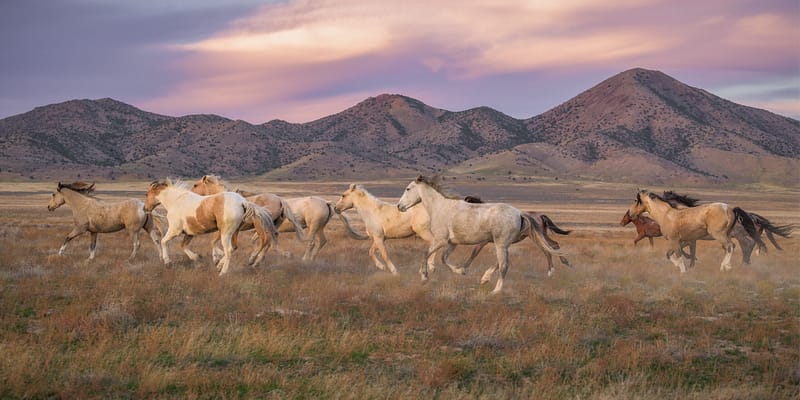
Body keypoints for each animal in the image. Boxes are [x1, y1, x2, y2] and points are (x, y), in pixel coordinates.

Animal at [144, 179, 278, 275]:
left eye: (146, 194)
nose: (145, 209)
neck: (176, 201)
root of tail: (243, 202)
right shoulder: (190, 233)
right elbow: (183, 246)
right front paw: (197, 257)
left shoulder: (175, 230)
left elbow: (163, 241)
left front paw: (167, 262)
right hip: (235, 231)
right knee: (235, 247)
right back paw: (221, 265)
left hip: (226, 233)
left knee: (229, 250)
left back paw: (223, 272)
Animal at [189, 175, 366, 260]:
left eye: (196, 185)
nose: (190, 194)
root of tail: (327, 203)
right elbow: (257, 242)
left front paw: (217, 257)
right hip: (319, 227)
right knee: (321, 241)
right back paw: (311, 259)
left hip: (313, 226)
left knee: (311, 243)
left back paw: (303, 259)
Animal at [397, 175, 561, 294]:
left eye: (408, 188)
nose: (399, 206)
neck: (441, 208)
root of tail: (520, 214)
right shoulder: (452, 243)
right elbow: (444, 259)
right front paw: (460, 271)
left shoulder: (440, 240)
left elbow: (426, 253)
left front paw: (424, 276)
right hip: (504, 244)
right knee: (501, 263)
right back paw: (485, 279)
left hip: (501, 244)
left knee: (504, 265)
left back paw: (495, 291)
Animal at [627, 189, 762, 273]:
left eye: (636, 200)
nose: (630, 213)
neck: (666, 215)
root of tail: (730, 209)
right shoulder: (683, 241)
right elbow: (670, 254)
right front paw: (682, 266)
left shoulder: (675, 240)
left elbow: (679, 255)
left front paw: (683, 271)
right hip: (726, 234)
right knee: (732, 247)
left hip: (720, 235)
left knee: (731, 246)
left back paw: (725, 267)